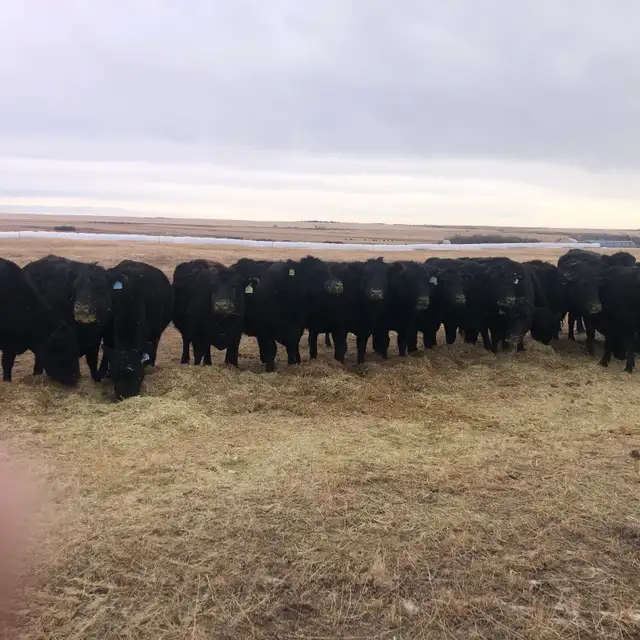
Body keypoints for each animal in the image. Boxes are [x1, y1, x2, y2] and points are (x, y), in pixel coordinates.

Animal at [22, 255, 113, 383]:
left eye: (102, 288)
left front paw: (96, 378)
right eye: (76, 286)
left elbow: (92, 360)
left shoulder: (97, 335)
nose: (81, 308)